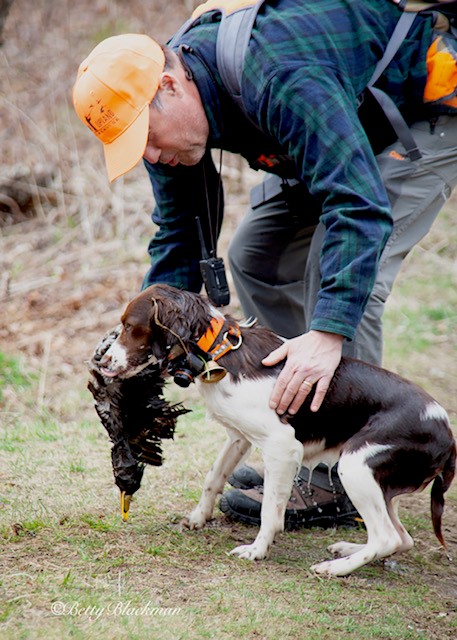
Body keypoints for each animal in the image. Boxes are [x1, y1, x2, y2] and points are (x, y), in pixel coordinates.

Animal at [99, 283, 456, 576]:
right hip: (380, 482)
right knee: (401, 538)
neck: (219, 354)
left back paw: (335, 568)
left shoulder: (282, 446)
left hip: (355, 464)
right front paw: (198, 517)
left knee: (385, 537)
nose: (102, 361)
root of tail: (447, 434)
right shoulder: (239, 437)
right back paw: (348, 550)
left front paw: (257, 550)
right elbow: (213, 477)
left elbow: (271, 508)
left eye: (129, 327)